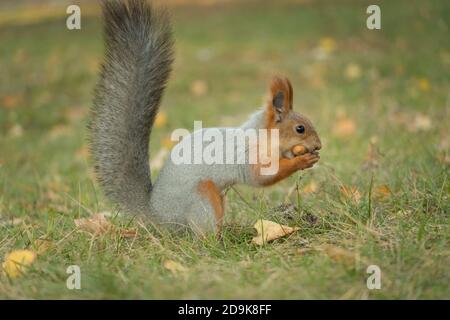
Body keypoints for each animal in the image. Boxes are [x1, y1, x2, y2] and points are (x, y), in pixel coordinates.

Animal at [89, 0, 320, 235]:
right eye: (300, 128)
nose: (318, 145)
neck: (261, 136)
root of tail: (158, 217)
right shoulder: (248, 156)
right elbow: (261, 177)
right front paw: (302, 160)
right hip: (202, 197)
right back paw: (218, 238)